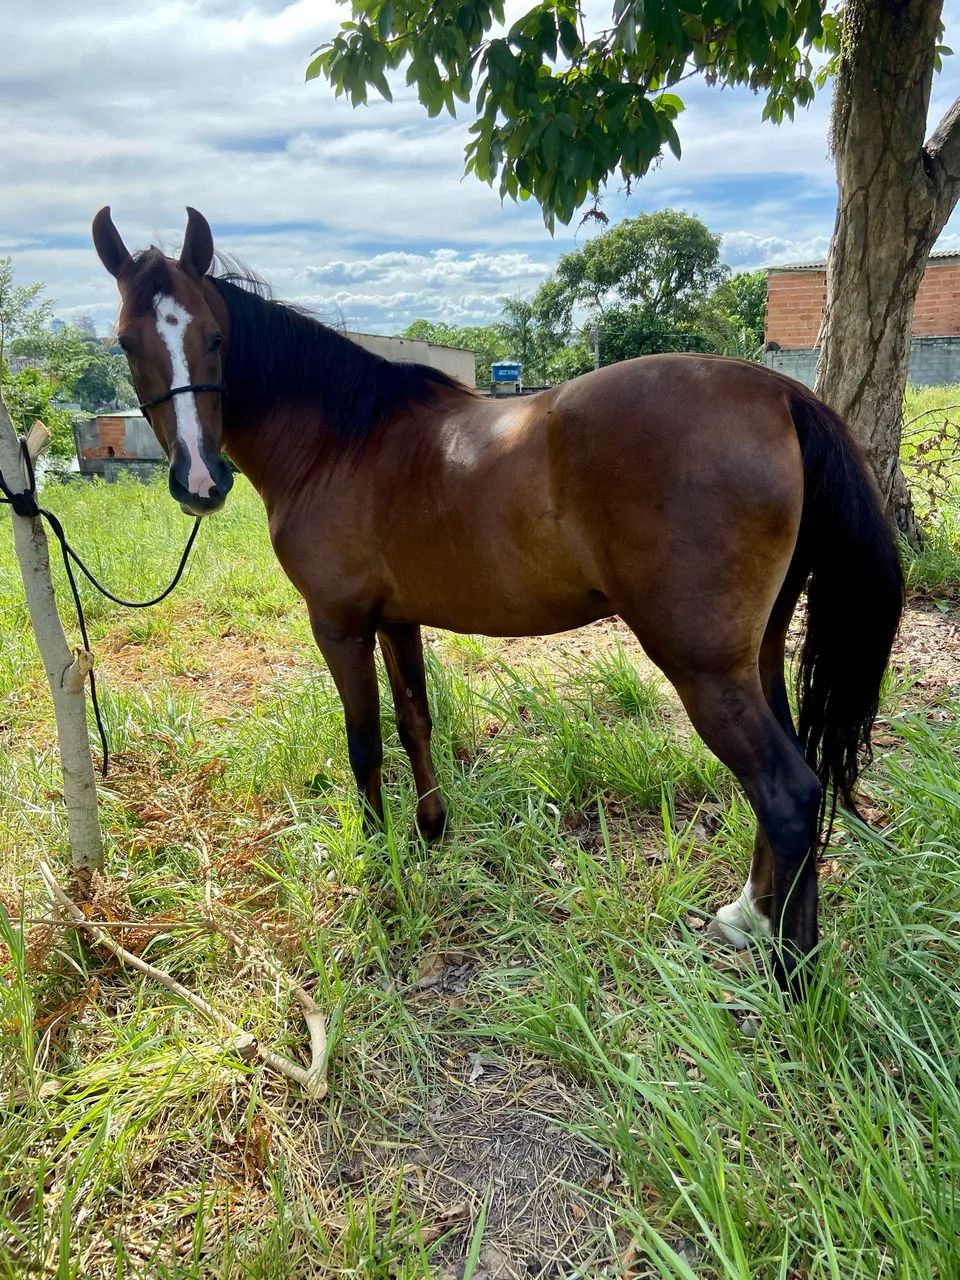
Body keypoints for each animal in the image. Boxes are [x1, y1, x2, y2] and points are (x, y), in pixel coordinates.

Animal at [92, 205, 903, 991]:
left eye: (216, 337)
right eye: (128, 343)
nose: (200, 481)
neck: (338, 442)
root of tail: (782, 393)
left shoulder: (340, 626)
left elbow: (364, 743)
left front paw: (377, 857)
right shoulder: (397, 621)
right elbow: (415, 721)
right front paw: (430, 830)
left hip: (704, 668)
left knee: (786, 793)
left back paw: (792, 975)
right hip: (755, 655)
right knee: (790, 779)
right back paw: (750, 914)